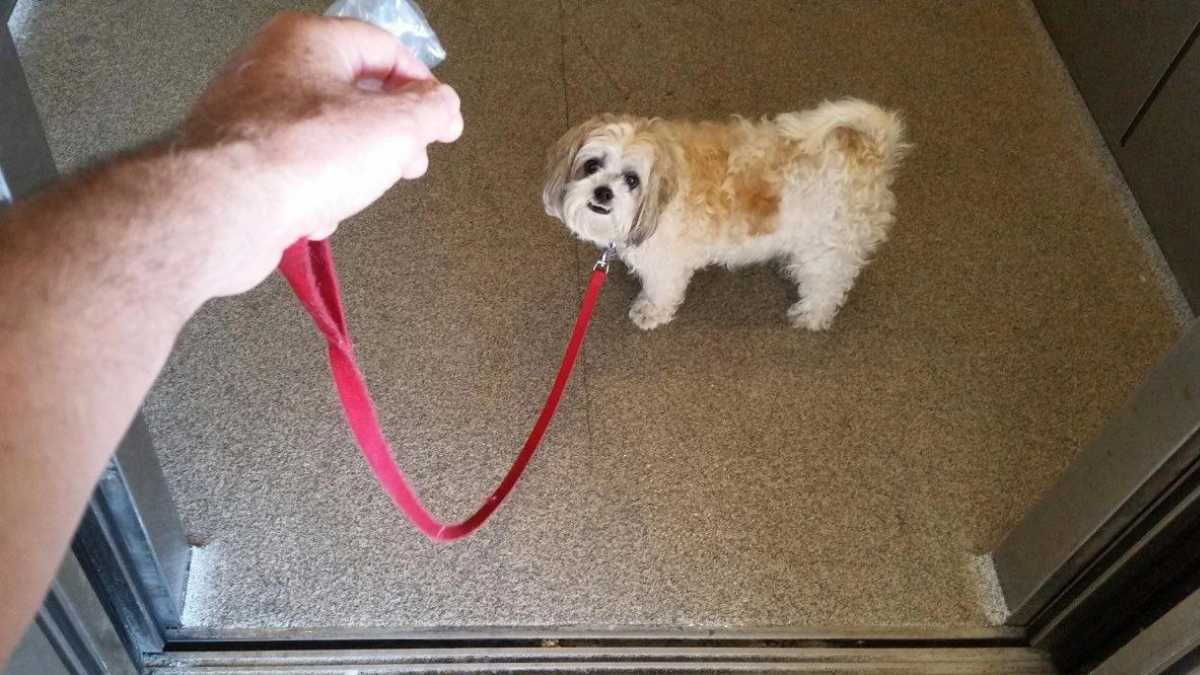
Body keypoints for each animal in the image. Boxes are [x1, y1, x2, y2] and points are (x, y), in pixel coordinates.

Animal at [544, 98, 907, 329]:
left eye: (632, 180)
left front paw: (651, 312)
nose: (602, 192)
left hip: (827, 249)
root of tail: (872, 151)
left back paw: (811, 315)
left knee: (828, 286)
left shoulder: (668, 265)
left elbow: (662, 291)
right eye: (592, 165)